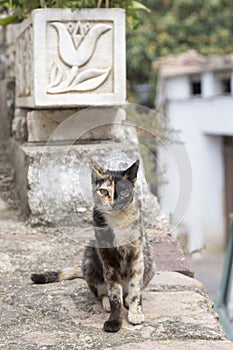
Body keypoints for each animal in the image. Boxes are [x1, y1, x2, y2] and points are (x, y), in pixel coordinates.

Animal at [30, 160, 155, 332]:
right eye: (103, 191)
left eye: (123, 193)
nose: (114, 203)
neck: (117, 222)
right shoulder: (107, 259)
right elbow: (114, 293)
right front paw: (114, 320)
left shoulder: (137, 255)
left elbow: (135, 287)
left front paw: (135, 312)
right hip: (90, 257)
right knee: (102, 292)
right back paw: (107, 303)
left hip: (149, 261)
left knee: (132, 291)